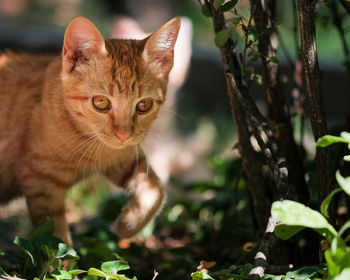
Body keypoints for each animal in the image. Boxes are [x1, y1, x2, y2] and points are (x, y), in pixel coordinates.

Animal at [0, 15, 180, 245]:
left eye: (144, 105)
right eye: (100, 102)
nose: (123, 135)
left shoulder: (124, 157)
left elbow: (155, 188)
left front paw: (129, 225)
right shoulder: (40, 182)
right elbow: (55, 239)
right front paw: (65, 256)